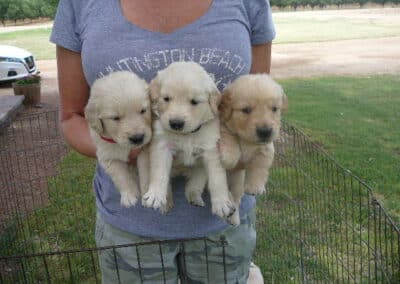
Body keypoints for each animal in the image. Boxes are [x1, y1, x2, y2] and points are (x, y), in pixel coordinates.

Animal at [84, 71, 152, 207]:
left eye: (143, 110)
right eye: (115, 118)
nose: (138, 138)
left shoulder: (145, 149)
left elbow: (145, 171)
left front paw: (148, 194)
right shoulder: (107, 157)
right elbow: (121, 176)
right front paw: (129, 196)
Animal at [142, 62, 236, 222]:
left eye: (194, 102)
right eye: (166, 99)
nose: (176, 123)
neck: (187, 135)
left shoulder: (211, 150)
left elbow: (217, 179)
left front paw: (222, 203)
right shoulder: (162, 147)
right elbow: (160, 173)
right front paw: (155, 195)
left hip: (200, 167)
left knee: (196, 183)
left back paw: (195, 197)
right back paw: (166, 202)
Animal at [219, 74, 288, 225]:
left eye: (274, 109)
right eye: (246, 110)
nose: (265, 131)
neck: (246, 140)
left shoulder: (266, 148)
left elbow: (260, 166)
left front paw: (255, 187)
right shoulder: (222, 127)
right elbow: (228, 137)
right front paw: (229, 157)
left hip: (238, 182)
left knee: (235, 198)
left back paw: (234, 217)